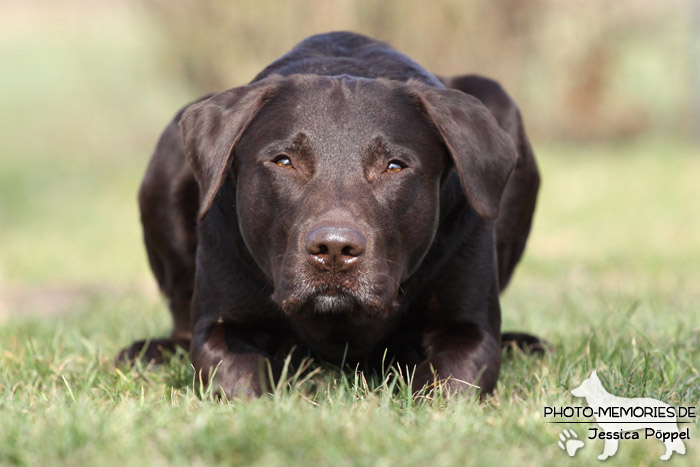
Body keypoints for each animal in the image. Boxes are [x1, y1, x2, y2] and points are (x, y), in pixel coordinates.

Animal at [117, 32, 540, 398]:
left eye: (394, 166)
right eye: (284, 161)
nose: (334, 249)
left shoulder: (467, 330)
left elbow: (445, 388)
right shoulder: (222, 327)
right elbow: (241, 380)